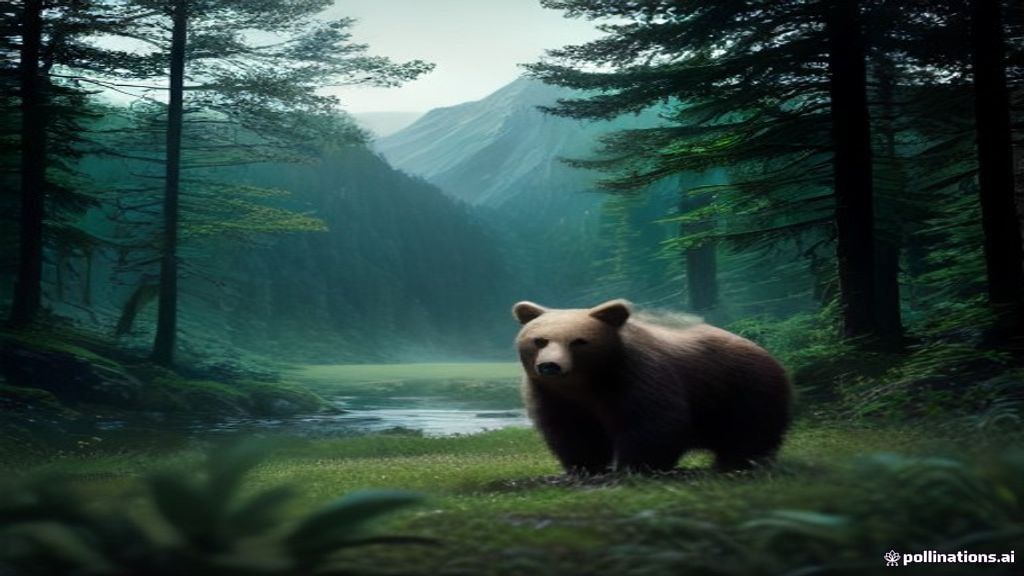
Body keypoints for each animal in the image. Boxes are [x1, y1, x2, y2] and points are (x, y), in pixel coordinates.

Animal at [513, 299, 792, 474]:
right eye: (539, 340)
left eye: (578, 341)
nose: (550, 366)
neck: (588, 382)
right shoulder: (553, 395)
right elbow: (572, 430)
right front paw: (586, 466)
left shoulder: (636, 376)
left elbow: (652, 422)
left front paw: (634, 466)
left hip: (743, 387)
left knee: (750, 428)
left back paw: (737, 462)